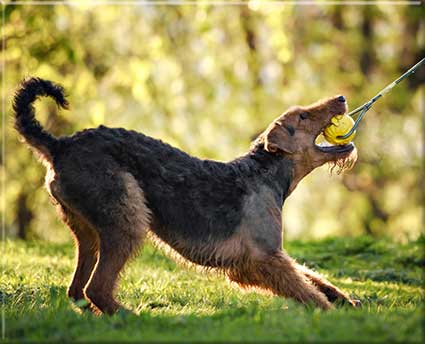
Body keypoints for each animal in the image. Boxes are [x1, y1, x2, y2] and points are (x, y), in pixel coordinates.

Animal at [13, 77, 358, 314]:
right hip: (127, 218)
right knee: (96, 288)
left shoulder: (261, 260)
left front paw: (346, 299)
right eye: (301, 117)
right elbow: (305, 289)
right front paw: (331, 313)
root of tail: (60, 146)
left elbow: (311, 278)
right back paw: (133, 317)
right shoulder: (263, 257)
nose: (341, 97)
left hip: (88, 231)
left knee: (77, 290)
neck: (266, 173)